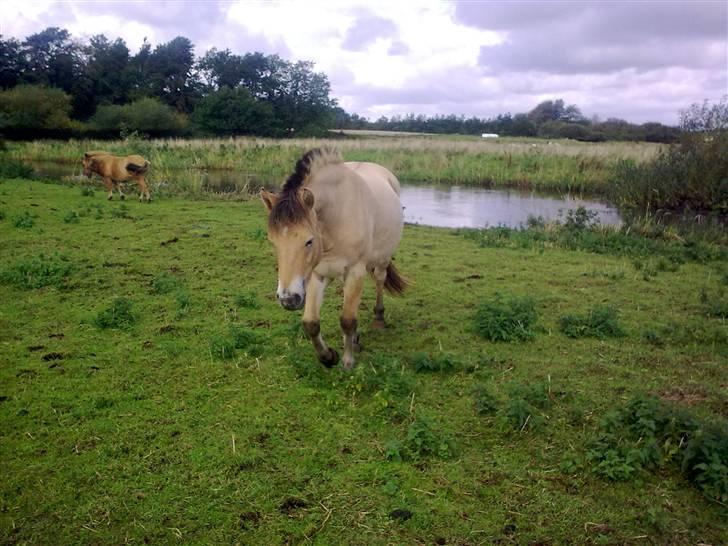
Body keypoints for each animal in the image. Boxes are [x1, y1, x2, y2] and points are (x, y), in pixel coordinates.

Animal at [262, 147, 410, 368]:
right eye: (273, 241)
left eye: (309, 241)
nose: (288, 299)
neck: (336, 216)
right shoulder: (317, 274)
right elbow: (311, 323)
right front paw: (328, 356)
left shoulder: (355, 271)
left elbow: (347, 320)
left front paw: (348, 361)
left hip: (381, 261)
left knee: (379, 279)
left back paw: (378, 318)